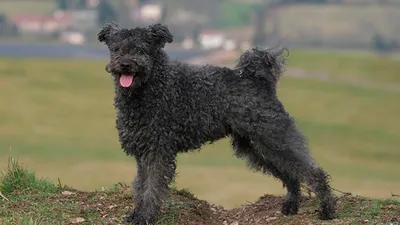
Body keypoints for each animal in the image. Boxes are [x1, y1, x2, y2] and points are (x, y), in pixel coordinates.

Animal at [98, 22, 336, 224]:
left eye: (141, 49)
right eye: (116, 48)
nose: (125, 65)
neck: (152, 86)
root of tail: (258, 79)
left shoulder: (157, 151)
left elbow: (152, 188)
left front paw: (145, 216)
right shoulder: (143, 153)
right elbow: (140, 186)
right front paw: (136, 214)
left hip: (274, 136)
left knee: (312, 171)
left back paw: (327, 210)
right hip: (256, 146)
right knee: (291, 174)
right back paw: (291, 206)